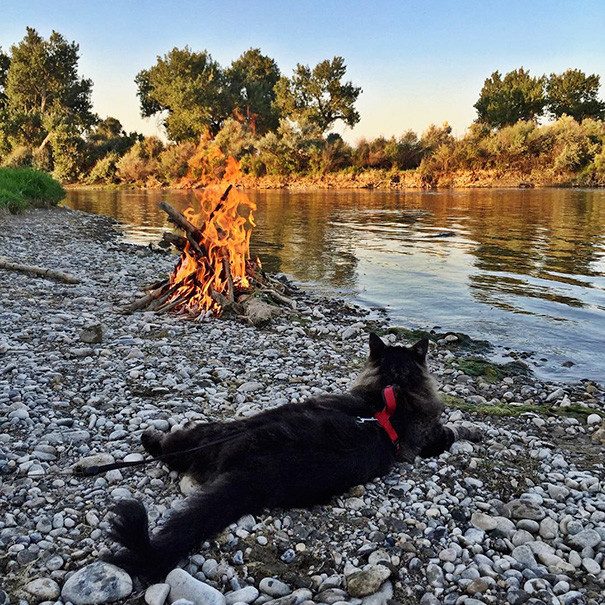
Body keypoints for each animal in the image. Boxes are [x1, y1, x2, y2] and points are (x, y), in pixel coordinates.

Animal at [106, 332, 478, 580]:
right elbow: (449, 432)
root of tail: (252, 463)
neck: (393, 390)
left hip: (213, 431)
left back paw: (151, 440)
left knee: (173, 450)